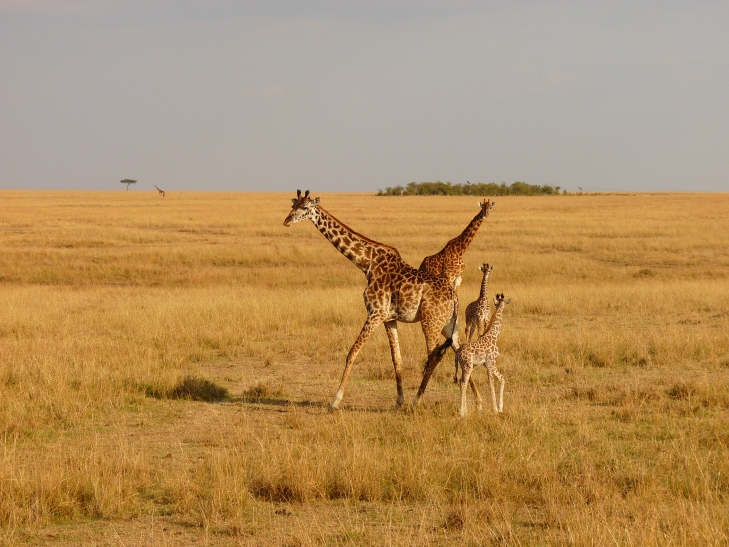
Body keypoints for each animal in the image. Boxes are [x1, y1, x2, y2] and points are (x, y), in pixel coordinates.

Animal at [283, 190, 460, 411]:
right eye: (293, 205)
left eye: (305, 207)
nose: (287, 221)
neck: (366, 263)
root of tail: (453, 295)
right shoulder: (389, 318)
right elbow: (396, 359)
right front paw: (398, 401)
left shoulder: (375, 313)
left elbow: (352, 352)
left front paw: (335, 401)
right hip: (449, 324)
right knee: (461, 352)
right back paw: (475, 403)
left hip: (431, 322)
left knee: (435, 355)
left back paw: (417, 401)